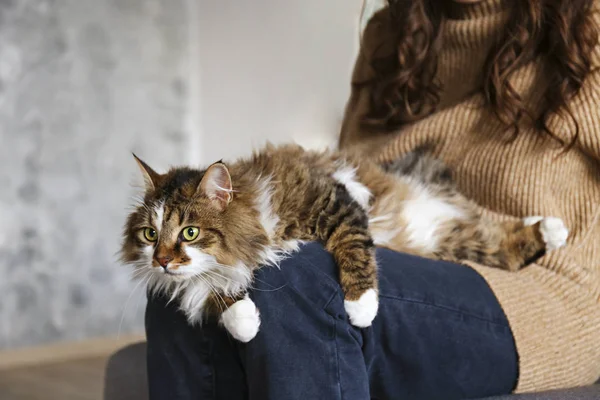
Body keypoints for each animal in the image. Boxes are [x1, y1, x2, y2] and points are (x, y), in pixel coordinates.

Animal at [120, 145, 568, 342]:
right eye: (150, 235)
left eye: (189, 232)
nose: (161, 261)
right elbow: (213, 292)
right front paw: (244, 321)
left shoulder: (336, 199)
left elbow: (354, 249)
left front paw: (361, 307)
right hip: (451, 240)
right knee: (497, 240)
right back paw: (546, 228)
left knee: (493, 227)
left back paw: (554, 228)